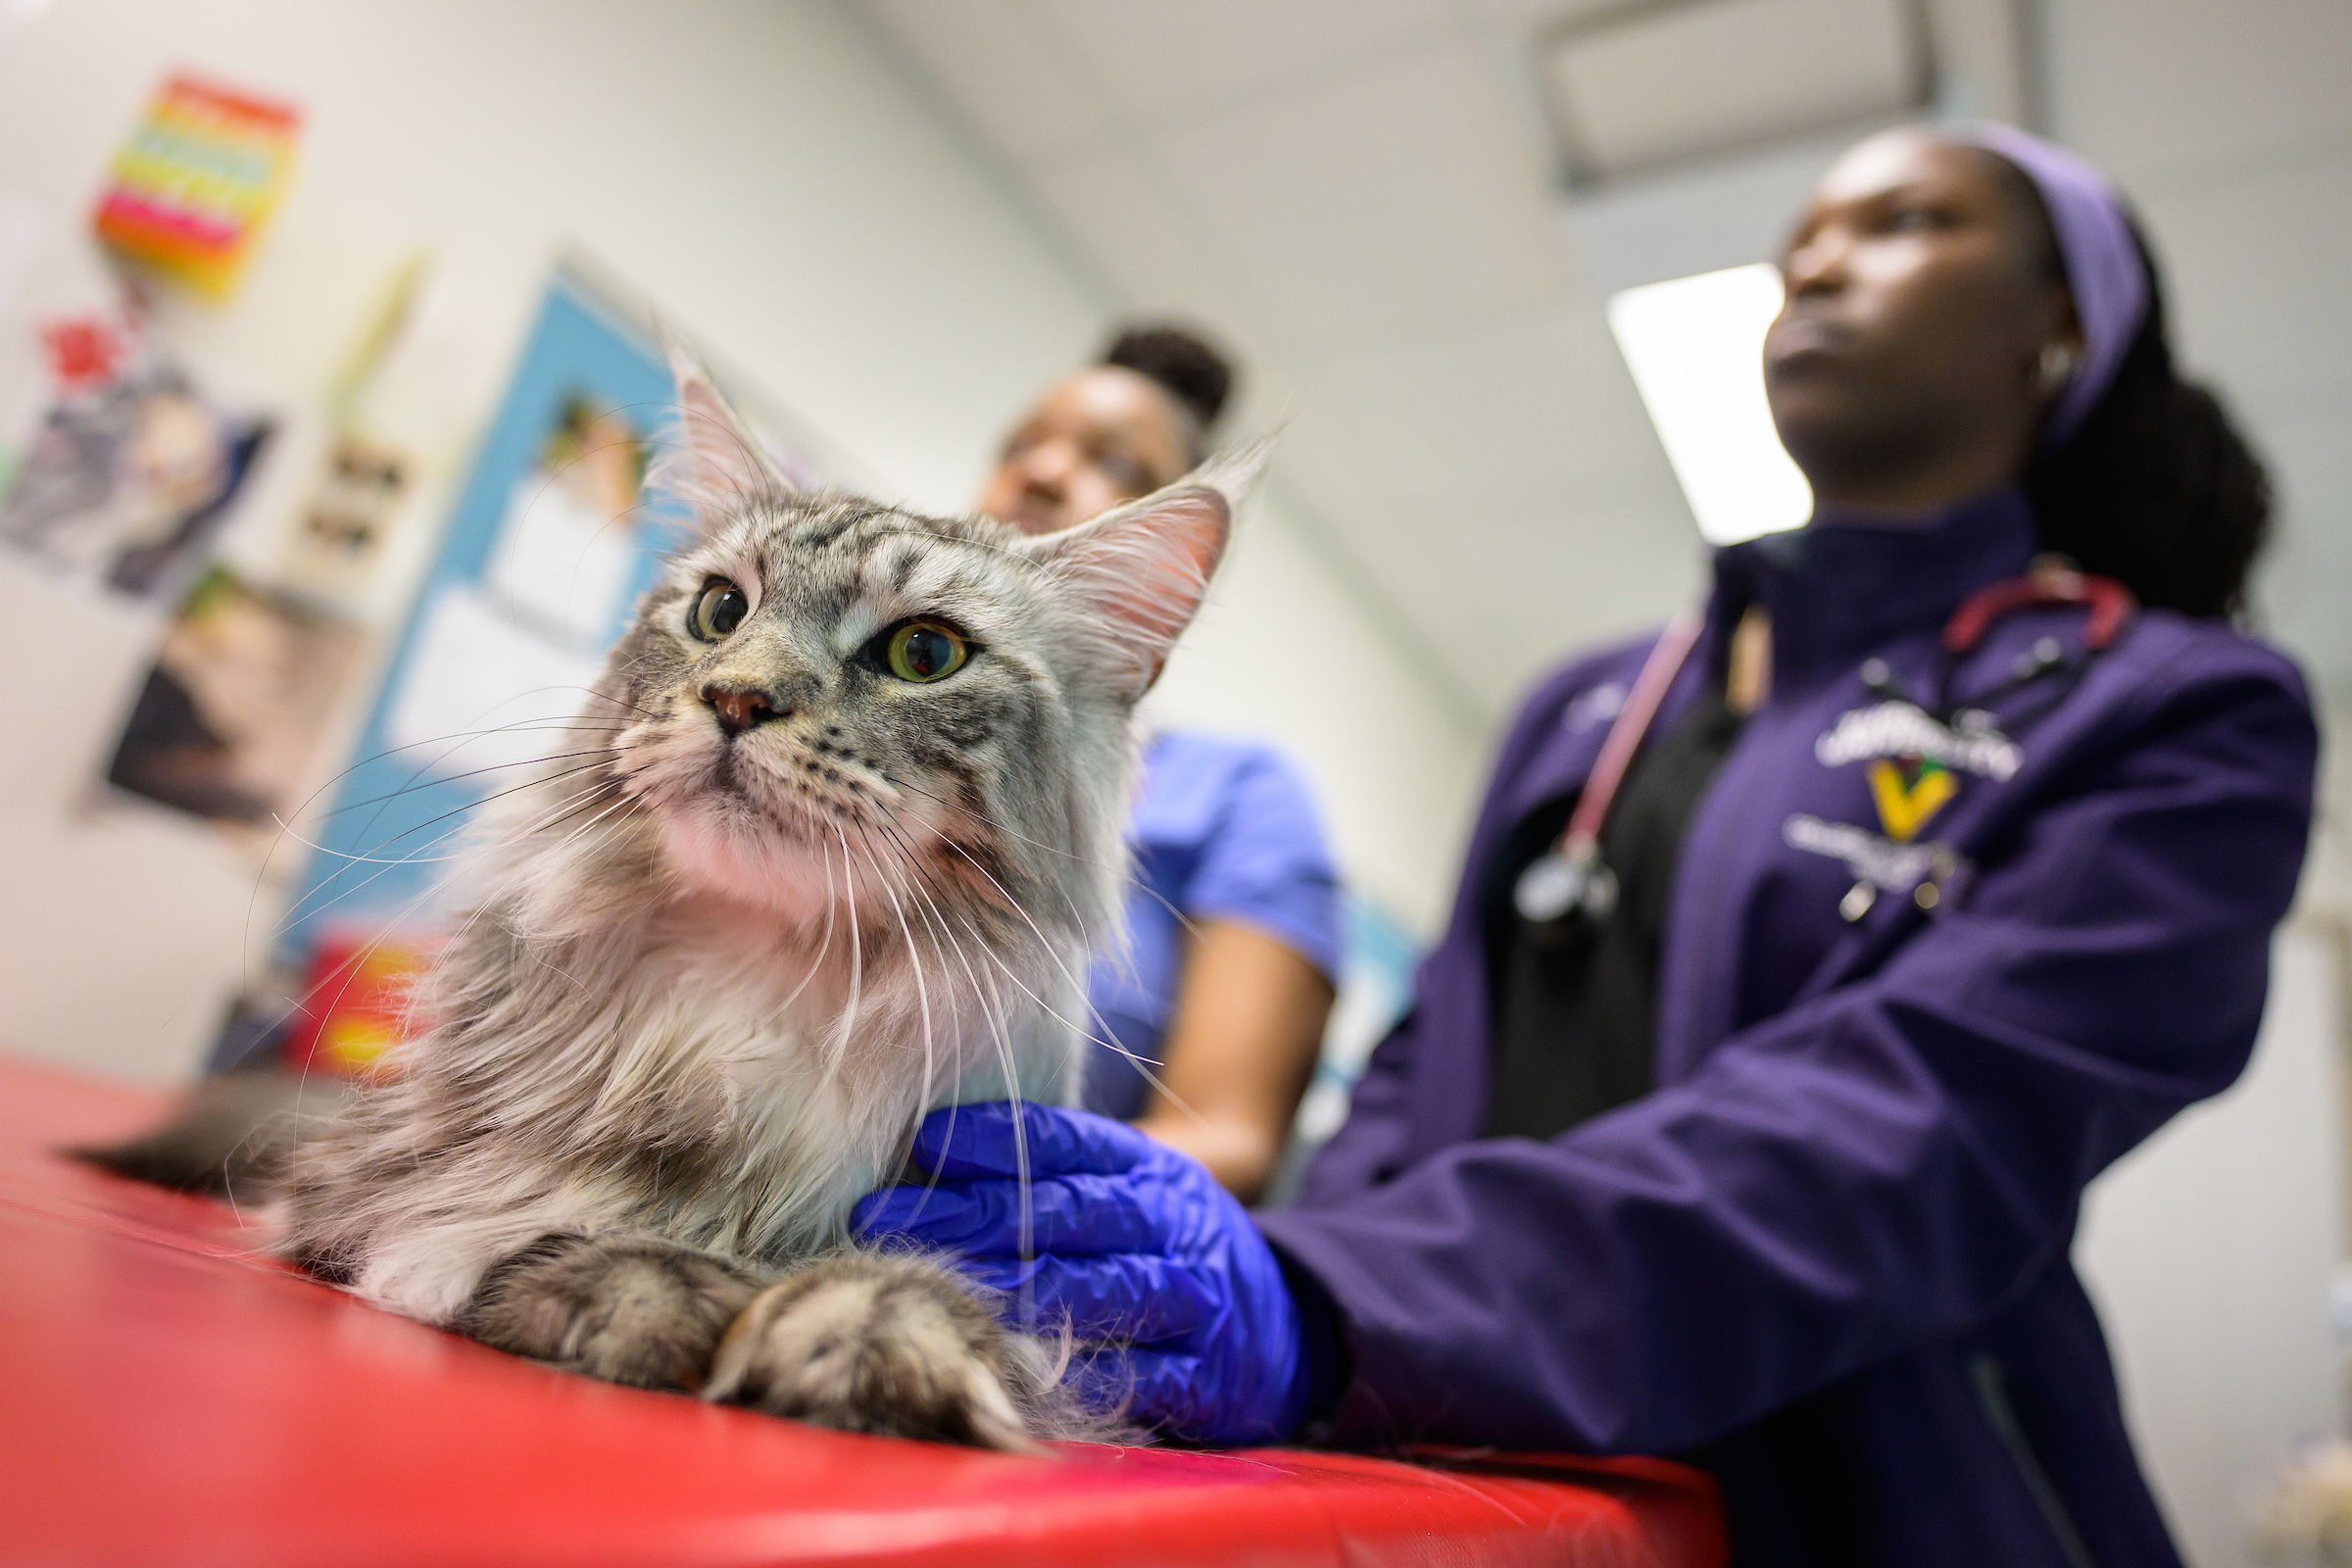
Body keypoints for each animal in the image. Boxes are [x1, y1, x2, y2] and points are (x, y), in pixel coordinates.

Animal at [253, 355, 1250, 1447]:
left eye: (925, 655)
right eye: (721, 612)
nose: (736, 697)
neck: (746, 992)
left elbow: (947, 1307)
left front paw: (864, 1337)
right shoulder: (365, 1188)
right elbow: (517, 1234)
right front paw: (655, 1294)